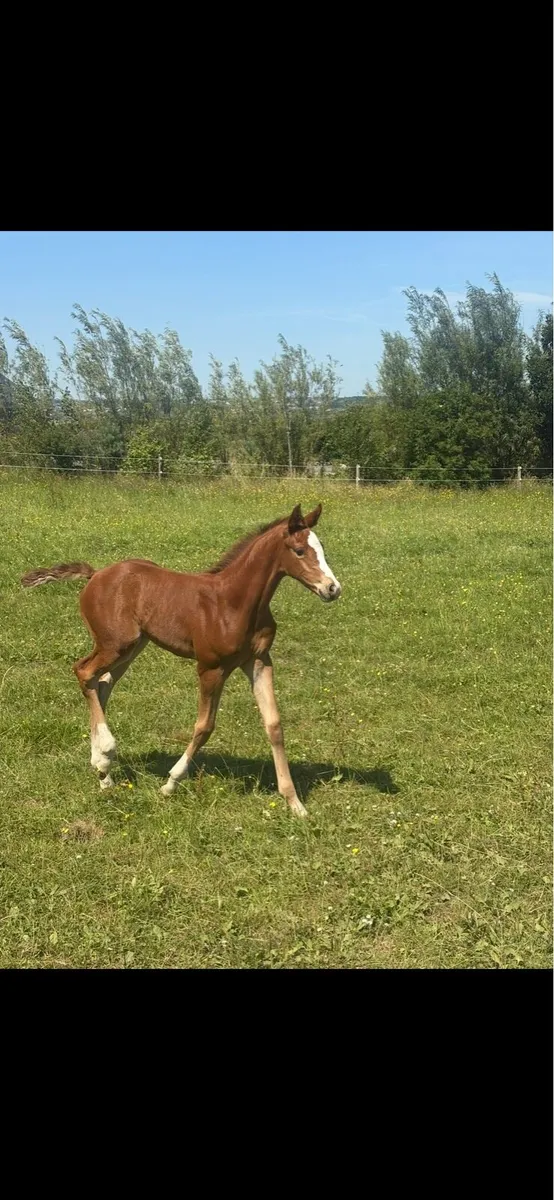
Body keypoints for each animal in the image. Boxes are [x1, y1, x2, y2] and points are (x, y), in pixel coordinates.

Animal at [21, 502, 341, 817]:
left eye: (322, 547)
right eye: (299, 551)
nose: (332, 588)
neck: (234, 602)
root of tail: (96, 574)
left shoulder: (259, 661)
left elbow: (274, 725)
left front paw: (295, 803)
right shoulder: (211, 667)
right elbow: (205, 726)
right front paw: (170, 784)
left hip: (133, 646)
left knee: (102, 684)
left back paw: (103, 771)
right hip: (115, 644)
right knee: (84, 672)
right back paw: (105, 756)